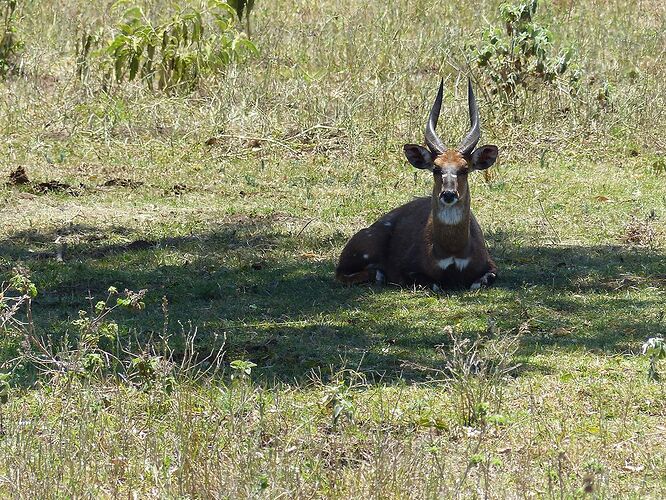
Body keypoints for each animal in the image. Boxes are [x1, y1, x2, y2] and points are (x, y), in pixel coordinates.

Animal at [334, 77, 496, 290]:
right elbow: (432, 284)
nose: (448, 194)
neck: (453, 250)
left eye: (464, 169)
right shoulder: (409, 272)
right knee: (342, 273)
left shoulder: (491, 267)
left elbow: (480, 281)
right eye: (436, 168)